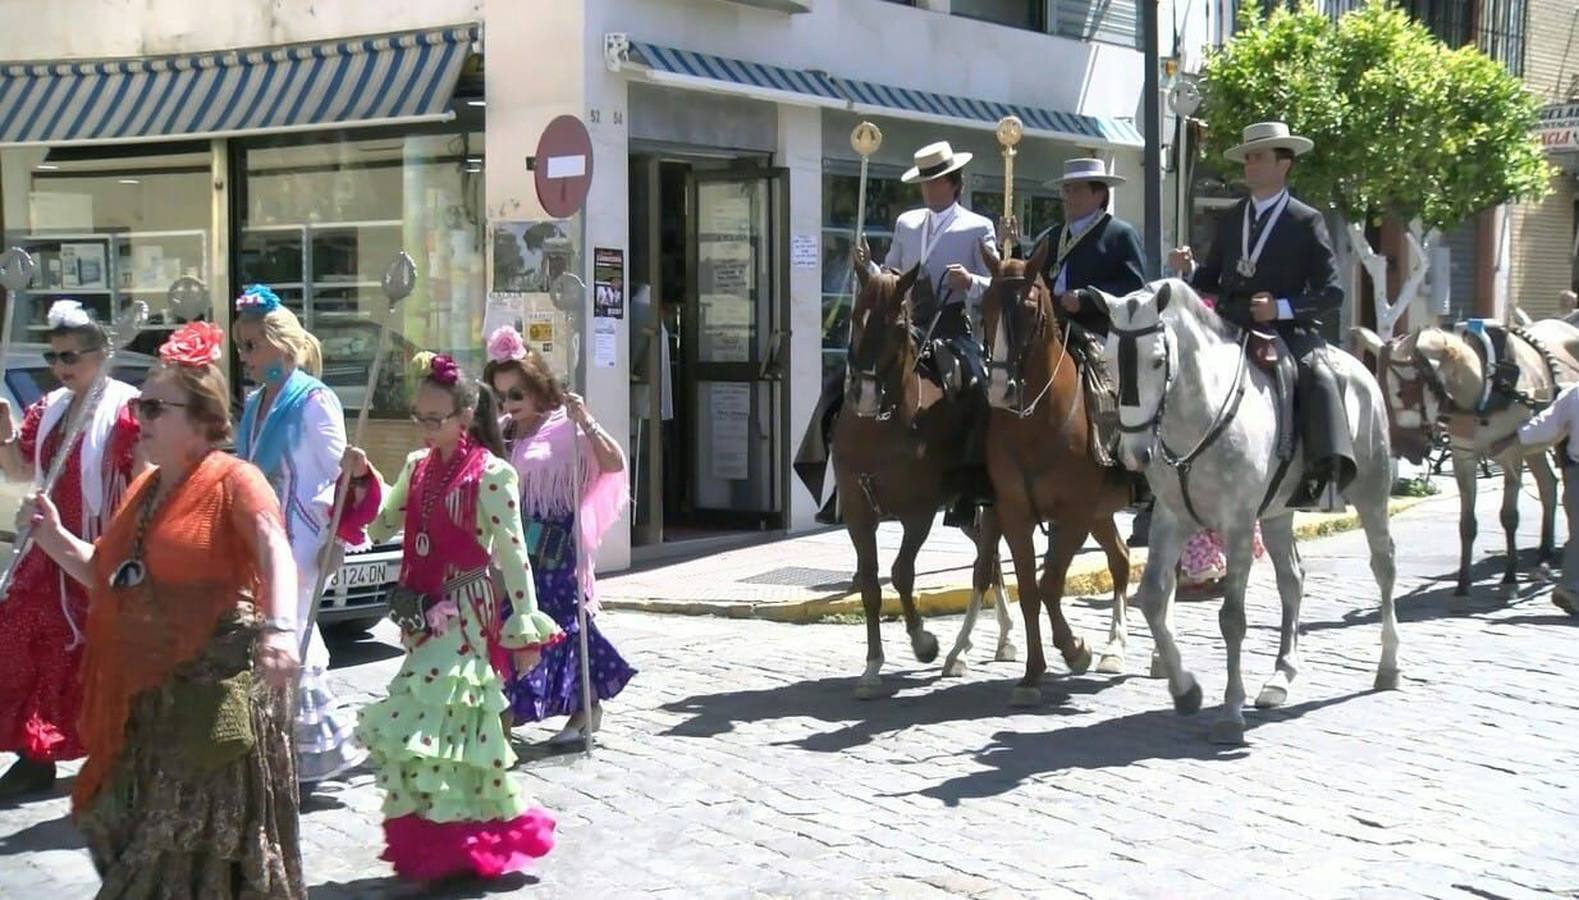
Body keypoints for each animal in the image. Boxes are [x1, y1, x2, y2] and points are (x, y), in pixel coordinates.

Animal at [840, 258, 1010, 694]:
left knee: (985, 563)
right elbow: (870, 583)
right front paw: (872, 666)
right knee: (990, 557)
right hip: (967, 511)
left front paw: (923, 642)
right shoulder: (857, 514)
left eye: (899, 324)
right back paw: (1002, 638)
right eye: (856, 315)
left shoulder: (918, 514)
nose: (866, 396)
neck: (881, 427)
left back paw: (963, 651)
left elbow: (901, 574)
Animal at [978, 241, 1130, 704]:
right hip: (1103, 512)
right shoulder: (1015, 514)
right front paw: (1032, 673)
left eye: (1030, 309)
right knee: (1121, 561)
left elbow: (1050, 585)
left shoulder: (1074, 515)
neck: (1036, 422)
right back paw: (1115, 649)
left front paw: (1075, 649)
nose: (1000, 390)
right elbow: (1029, 590)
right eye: (984, 306)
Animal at [1092, 281, 1402, 742]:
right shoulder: (1171, 519)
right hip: (1276, 515)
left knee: (1383, 567)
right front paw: (1185, 690)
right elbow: (1152, 598)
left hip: (1371, 493)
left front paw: (1230, 711)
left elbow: (1232, 619)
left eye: (1157, 360)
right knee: (1292, 580)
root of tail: (1361, 370)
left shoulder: (1237, 526)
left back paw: (1388, 666)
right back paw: (1280, 677)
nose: (1133, 454)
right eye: (1111, 359)